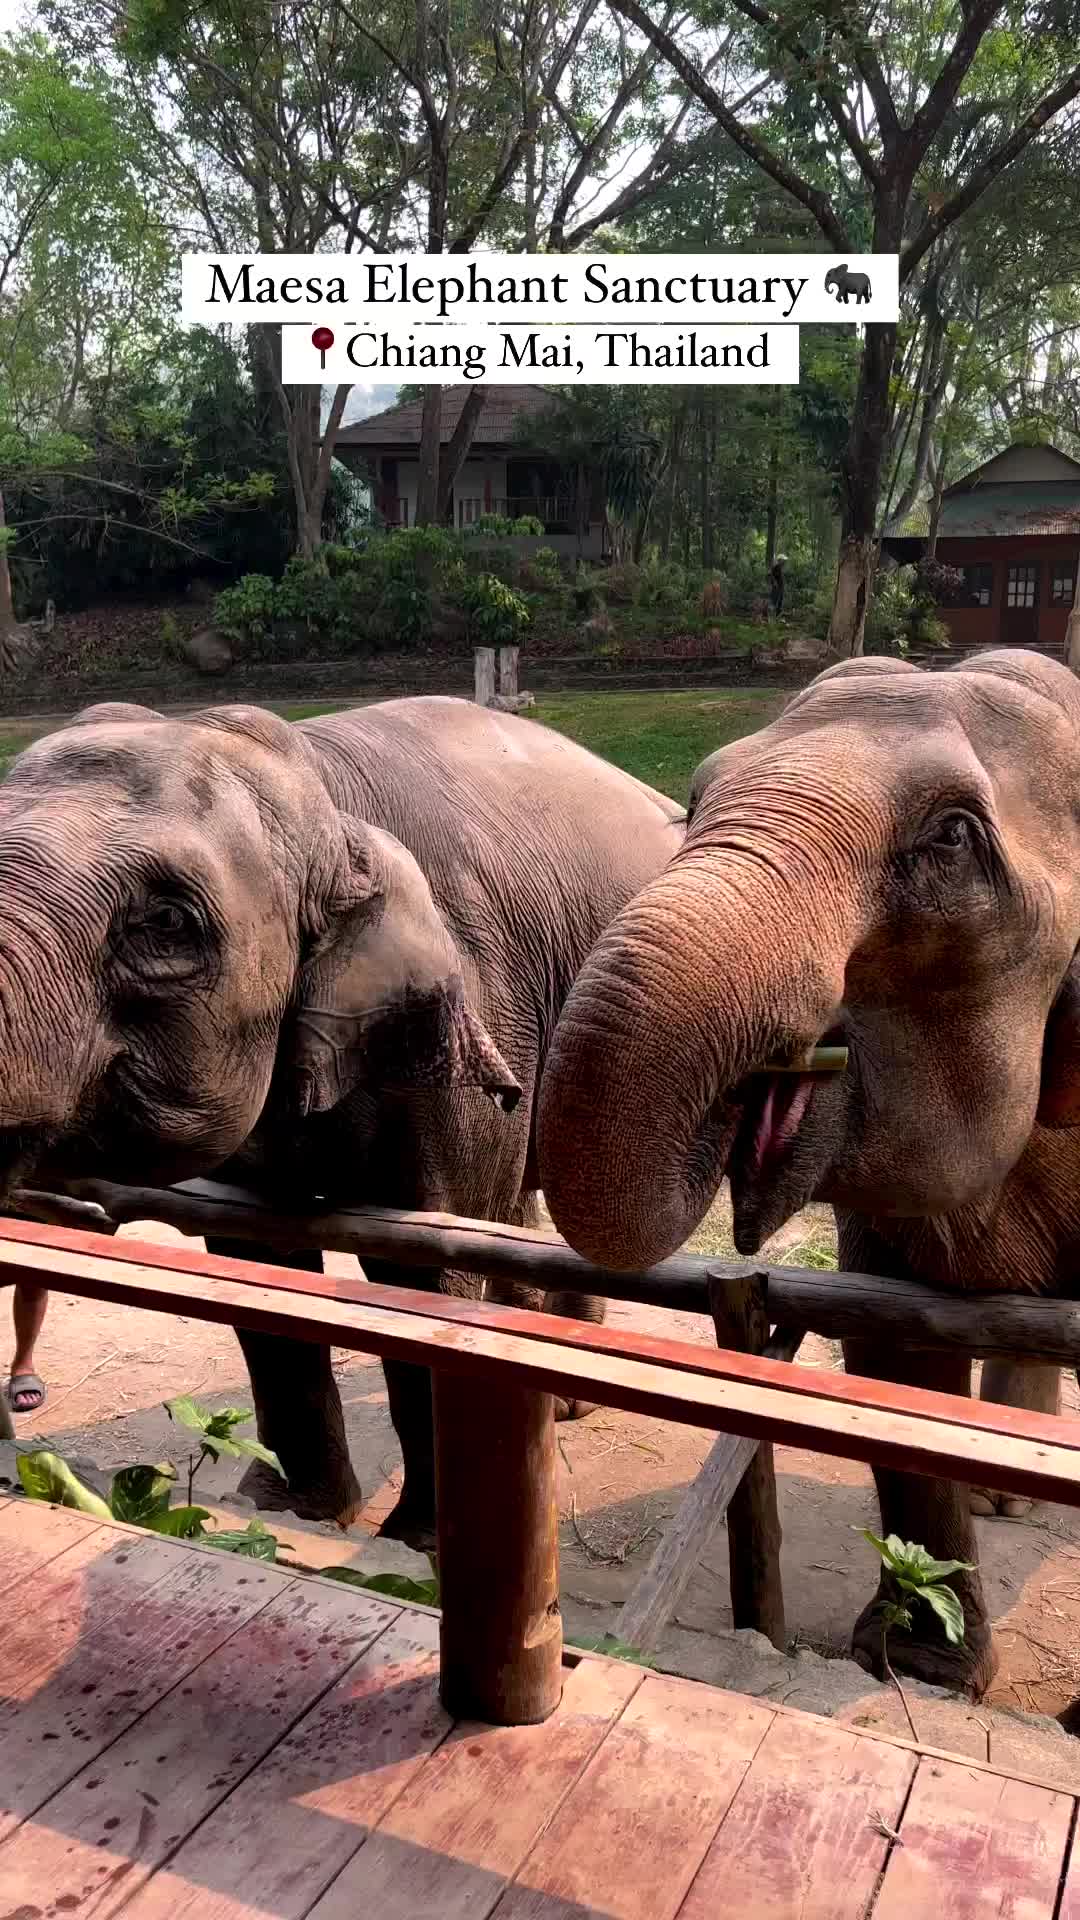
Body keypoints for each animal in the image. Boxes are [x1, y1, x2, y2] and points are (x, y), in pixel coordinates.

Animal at [0, 691, 680, 1543]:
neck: (325, 793)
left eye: (167, 923)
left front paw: (417, 1540)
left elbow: (424, 1267)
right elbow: (257, 1256)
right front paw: (294, 1509)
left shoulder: (466, 1003)